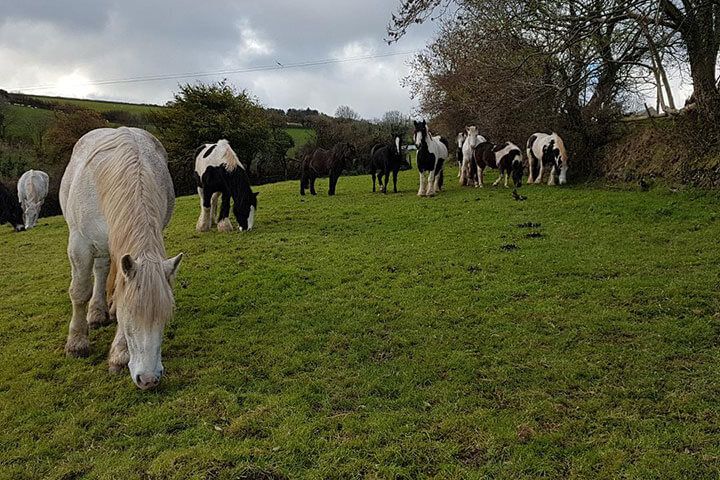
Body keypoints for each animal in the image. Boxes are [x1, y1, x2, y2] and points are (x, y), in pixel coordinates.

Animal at [60, 127, 183, 390]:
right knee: (100, 271)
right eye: (132, 316)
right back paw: (95, 314)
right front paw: (76, 343)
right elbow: (80, 292)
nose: (149, 379)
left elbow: (121, 292)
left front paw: (119, 355)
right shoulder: (79, 245)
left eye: (164, 318)